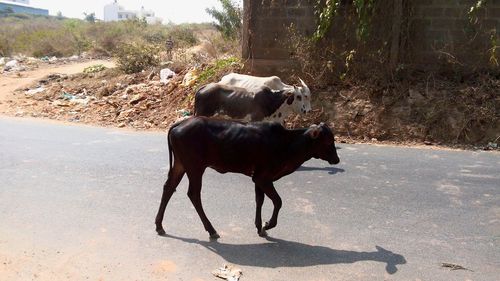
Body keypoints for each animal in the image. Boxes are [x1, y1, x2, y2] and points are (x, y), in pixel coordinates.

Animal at [154, 115, 340, 236]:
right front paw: (268, 224)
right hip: (195, 167)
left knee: (169, 187)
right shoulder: (263, 177)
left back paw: (159, 225)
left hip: (181, 164)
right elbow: (278, 201)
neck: (286, 144)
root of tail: (180, 123)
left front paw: (259, 227)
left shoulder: (258, 178)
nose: (337, 159)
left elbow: (260, 200)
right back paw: (211, 230)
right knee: (193, 194)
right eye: (328, 141)